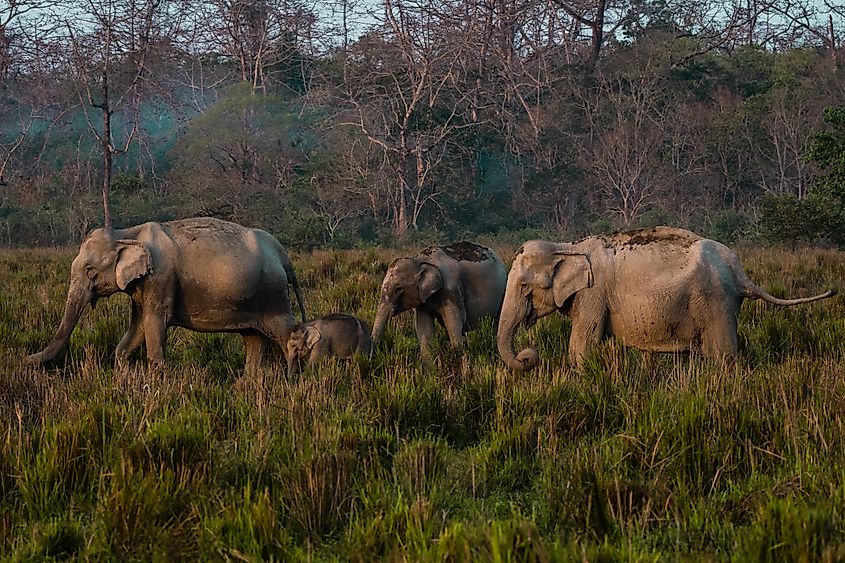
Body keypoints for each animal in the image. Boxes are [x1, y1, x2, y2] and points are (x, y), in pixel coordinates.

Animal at [23, 218, 310, 372]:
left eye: (90, 270)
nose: (25, 359)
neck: (126, 233)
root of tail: (283, 255)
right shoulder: (142, 287)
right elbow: (137, 329)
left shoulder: (160, 279)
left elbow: (154, 324)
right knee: (252, 337)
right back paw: (247, 384)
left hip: (273, 295)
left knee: (285, 335)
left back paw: (291, 380)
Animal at [370, 242, 504, 356]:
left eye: (398, 289)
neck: (420, 260)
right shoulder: (423, 299)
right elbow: (424, 328)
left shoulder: (451, 289)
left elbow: (454, 324)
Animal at [498, 227, 836, 372]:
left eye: (524, 286)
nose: (528, 356)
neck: (568, 245)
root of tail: (739, 270)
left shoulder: (592, 295)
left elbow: (582, 346)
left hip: (715, 299)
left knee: (722, 354)